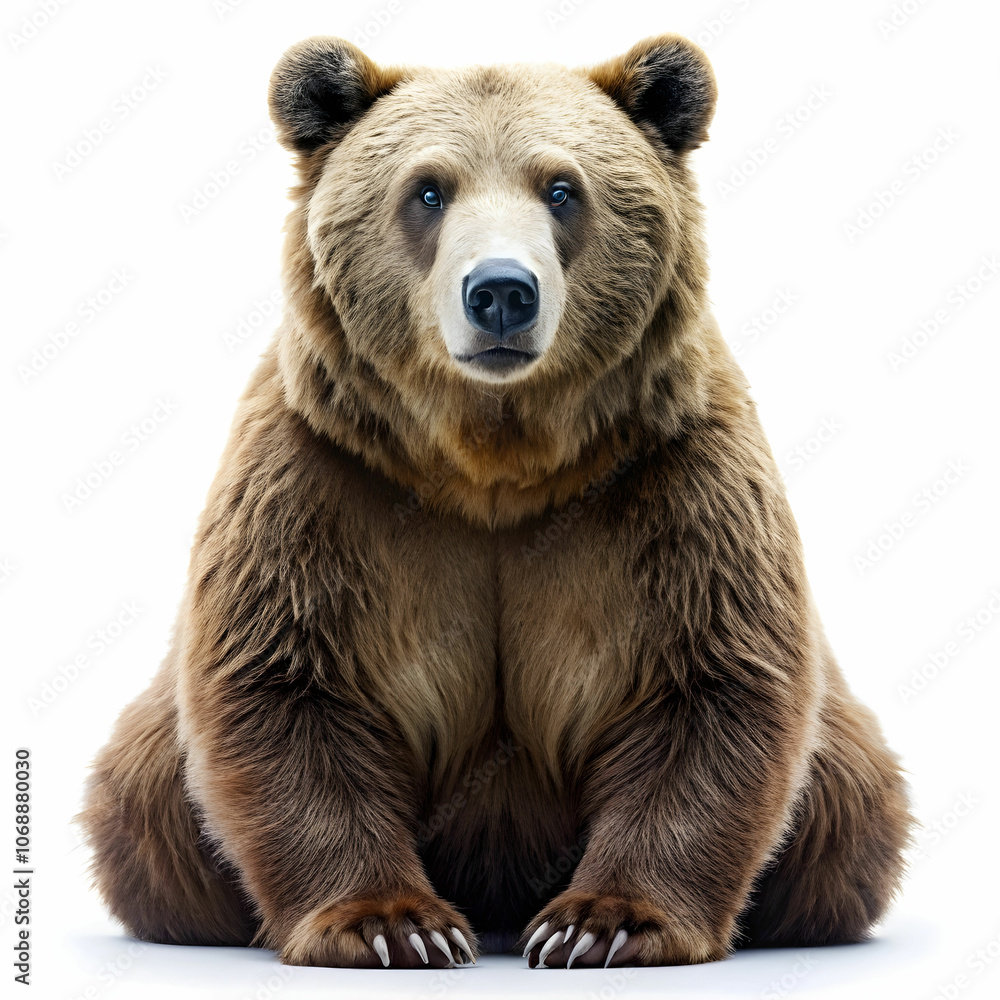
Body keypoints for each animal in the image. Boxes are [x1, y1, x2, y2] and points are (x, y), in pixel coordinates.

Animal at [78, 33, 914, 970]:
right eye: (427, 189)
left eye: (561, 188)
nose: (503, 291)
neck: (493, 461)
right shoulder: (324, 478)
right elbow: (286, 680)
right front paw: (397, 925)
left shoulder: (673, 477)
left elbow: (710, 680)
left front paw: (601, 924)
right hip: (154, 781)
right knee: (144, 807)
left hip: (843, 779)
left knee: (850, 813)